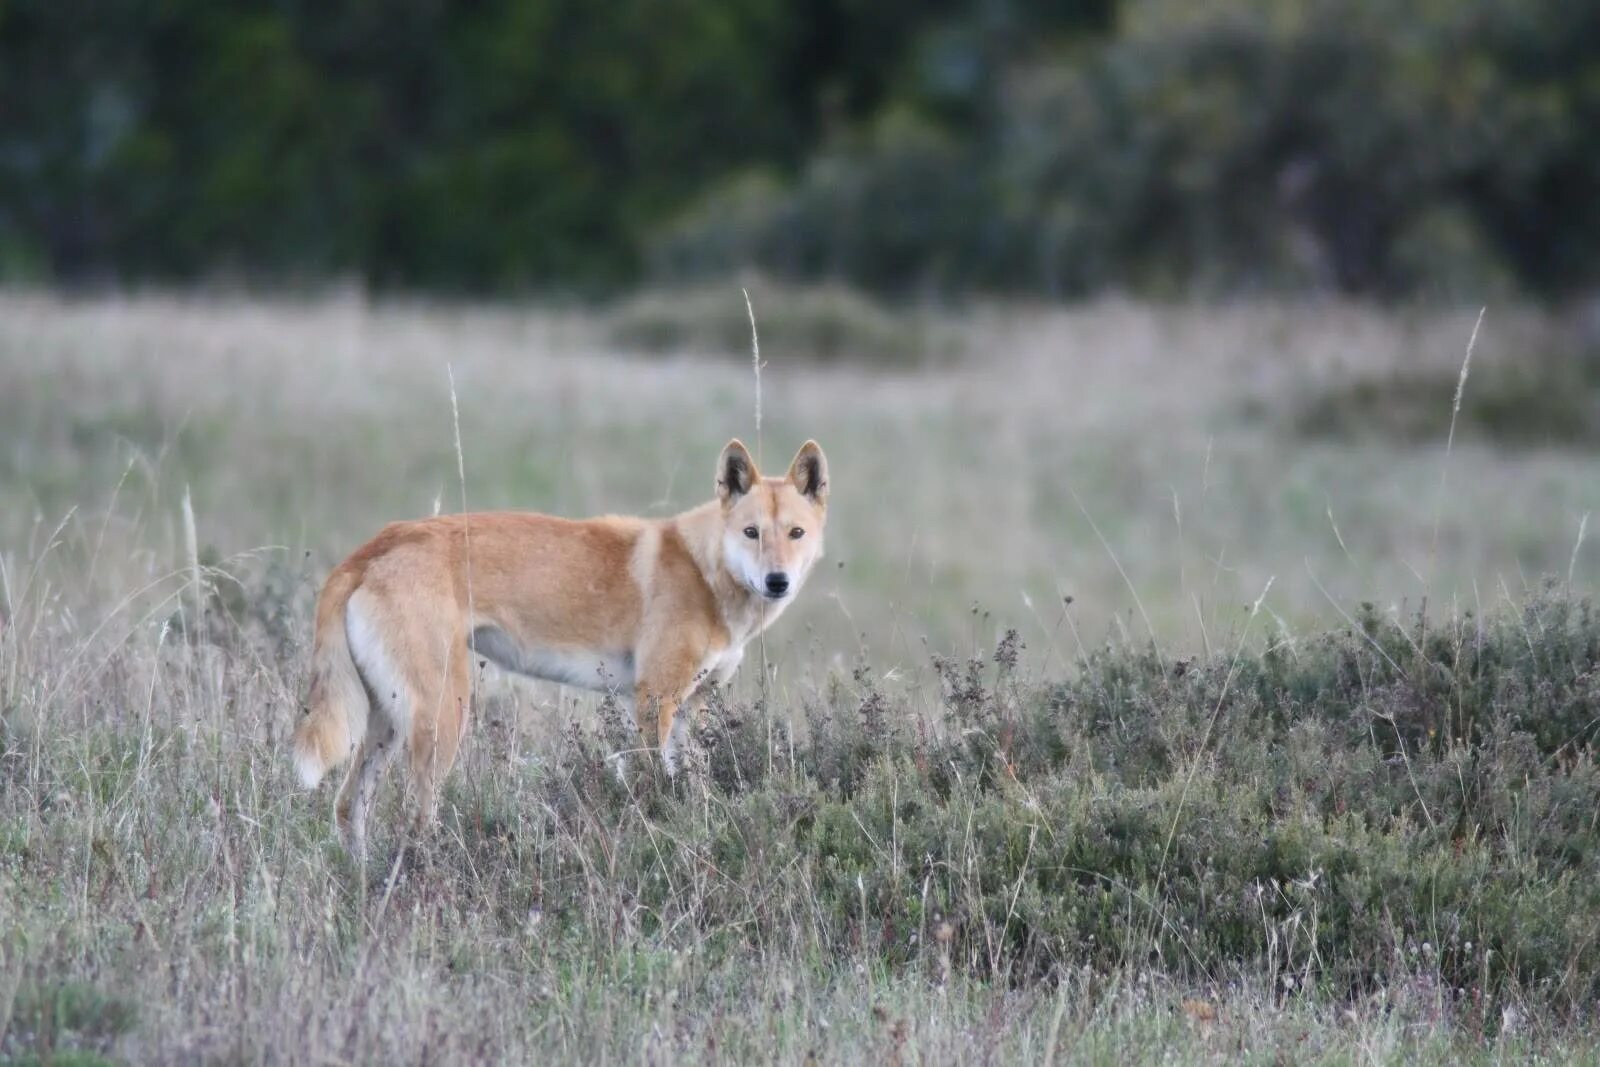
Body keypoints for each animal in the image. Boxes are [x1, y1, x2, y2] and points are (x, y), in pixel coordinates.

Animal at [292, 438, 832, 857]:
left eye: (796, 533)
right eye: (751, 532)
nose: (777, 581)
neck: (703, 570)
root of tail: (371, 549)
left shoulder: (687, 707)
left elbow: (687, 783)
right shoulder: (654, 701)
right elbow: (649, 784)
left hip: (387, 724)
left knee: (347, 807)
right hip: (444, 715)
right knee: (413, 818)